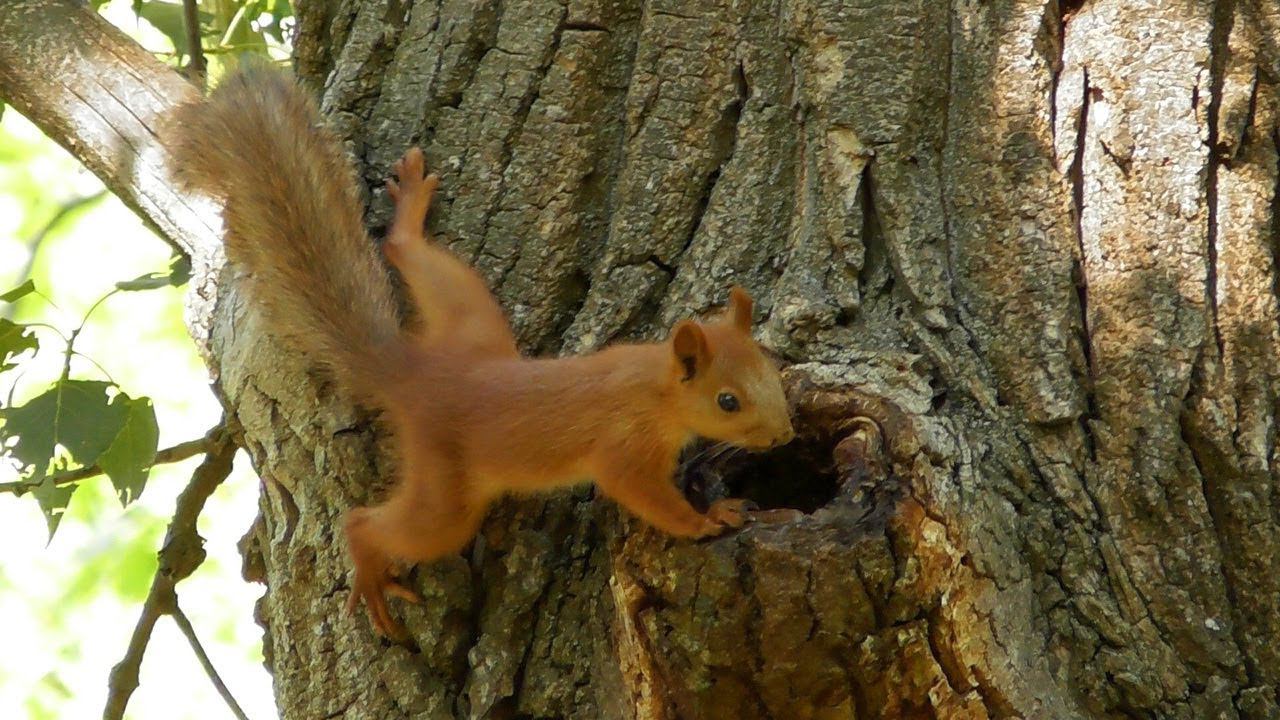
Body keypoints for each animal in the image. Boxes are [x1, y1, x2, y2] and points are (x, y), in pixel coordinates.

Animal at [165, 64, 795, 639]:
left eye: (774, 372)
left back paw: (409, 213)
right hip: (445, 493)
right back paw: (369, 568)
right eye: (727, 401)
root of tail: (415, 375)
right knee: (373, 522)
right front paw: (706, 519)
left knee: (405, 253)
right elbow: (645, 496)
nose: (784, 437)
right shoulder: (624, 450)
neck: (653, 383)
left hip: (473, 321)